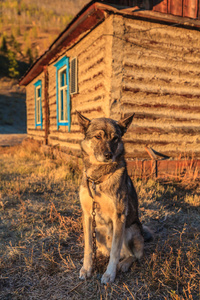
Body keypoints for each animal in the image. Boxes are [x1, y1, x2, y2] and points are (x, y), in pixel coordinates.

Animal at [76, 111, 152, 284]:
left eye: (115, 138)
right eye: (98, 137)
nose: (108, 155)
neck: (98, 178)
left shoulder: (119, 217)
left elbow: (115, 252)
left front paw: (110, 274)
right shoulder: (88, 215)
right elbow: (88, 247)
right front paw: (87, 268)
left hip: (130, 230)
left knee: (133, 255)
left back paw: (123, 264)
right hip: (99, 229)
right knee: (104, 250)